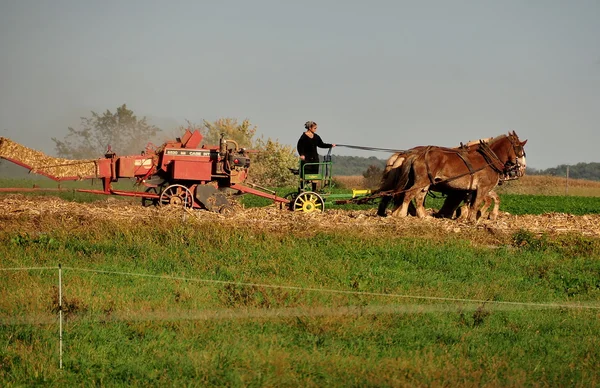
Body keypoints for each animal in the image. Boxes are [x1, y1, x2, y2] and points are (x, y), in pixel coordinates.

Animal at [380, 131, 524, 220]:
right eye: (520, 149)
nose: (521, 169)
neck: (488, 159)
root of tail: (415, 154)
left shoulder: (472, 189)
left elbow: (478, 201)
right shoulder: (482, 188)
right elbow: (478, 203)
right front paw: (473, 218)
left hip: (424, 183)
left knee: (415, 197)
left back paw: (421, 216)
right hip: (421, 181)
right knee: (408, 194)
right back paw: (402, 214)